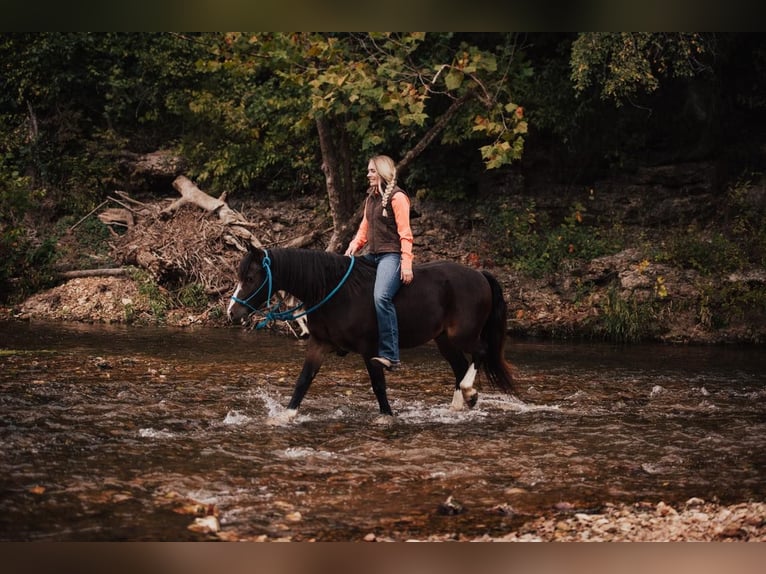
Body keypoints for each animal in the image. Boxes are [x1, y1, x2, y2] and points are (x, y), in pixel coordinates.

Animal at [228, 248, 516, 424]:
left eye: (251, 277)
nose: (232, 312)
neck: (333, 292)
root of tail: (480, 275)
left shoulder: (370, 349)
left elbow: (378, 385)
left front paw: (386, 417)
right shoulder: (319, 345)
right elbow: (303, 380)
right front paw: (286, 416)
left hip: (462, 335)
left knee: (479, 352)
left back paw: (469, 392)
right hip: (444, 339)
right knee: (459, 365)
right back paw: (458, 406)